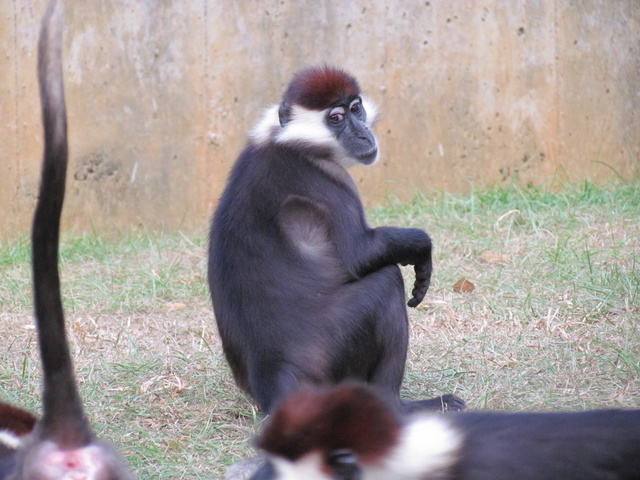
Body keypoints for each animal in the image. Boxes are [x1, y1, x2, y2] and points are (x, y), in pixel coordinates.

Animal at [209, 64, 464, 416]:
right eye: (336, 118)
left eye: (356, 109)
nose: (362, 133)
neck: (293, 143)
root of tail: (275, 375)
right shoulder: (327, 182)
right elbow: (361, 254)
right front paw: (421, 248)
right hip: (333, 350)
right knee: (386, 282)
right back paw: (400, 406)